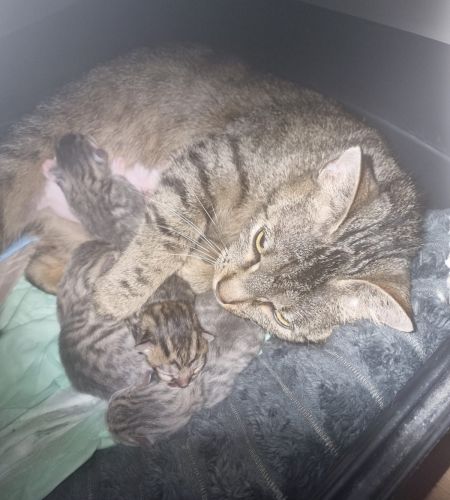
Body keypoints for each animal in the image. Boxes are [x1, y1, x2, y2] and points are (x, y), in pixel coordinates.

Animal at [0, 46, 422, 342]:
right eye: (261, 241)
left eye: (280, 315)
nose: (224, 293)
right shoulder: (208, 163)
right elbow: (169, 237)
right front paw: (118, 296)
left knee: (43, 263)